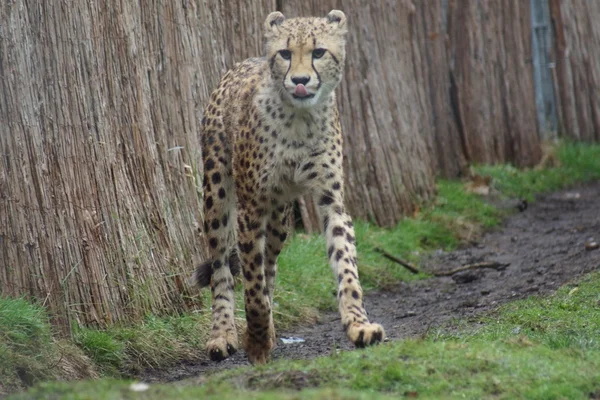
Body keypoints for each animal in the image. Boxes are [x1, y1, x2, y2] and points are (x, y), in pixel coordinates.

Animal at [195, 10, 386, 366]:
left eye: (319, 52)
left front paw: (359, 326)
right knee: (222, 267)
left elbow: (346, 267)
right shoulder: (250, 208)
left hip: (280, 218)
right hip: (217, 196)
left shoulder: (330, 201)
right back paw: (223, 335)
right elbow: (252, 283)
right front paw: (256, 342)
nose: (300, 80)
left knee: (269, 262)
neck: (299, 119)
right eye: (285, 53)